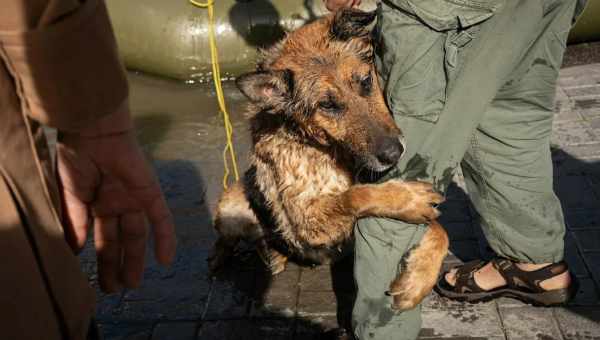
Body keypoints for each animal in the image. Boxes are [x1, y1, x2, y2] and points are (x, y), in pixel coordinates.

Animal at [211, 7, 450, 310]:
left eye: (365, 81)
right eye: (327, 105)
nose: (394, 153)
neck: (326, 147)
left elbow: (440, 230)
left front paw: (418, 280)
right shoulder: (306, 220)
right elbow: (355, 196)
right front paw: (405, 198)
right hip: (230, 203)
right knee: (228, 241)